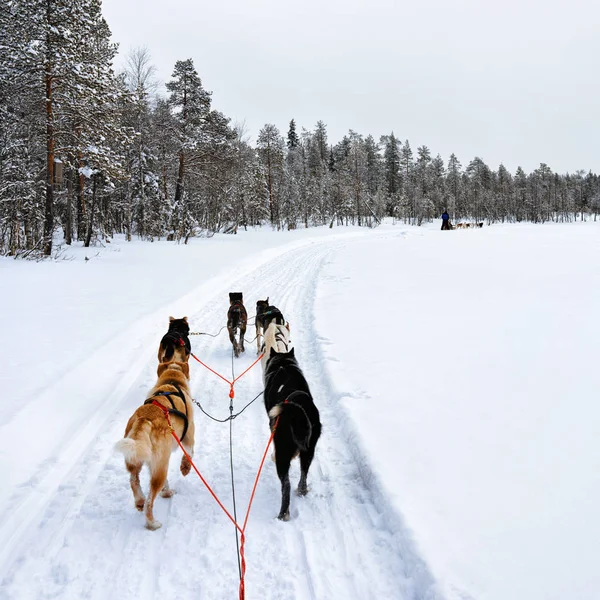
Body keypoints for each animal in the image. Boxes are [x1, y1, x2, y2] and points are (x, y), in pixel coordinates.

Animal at [115, 360, 195, 528]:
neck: (171, 381)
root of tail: (144, 418)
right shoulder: (188, 437)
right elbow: (189, 453)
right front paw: (185, 467)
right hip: (161, 464)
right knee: (150, 500)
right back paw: (152, 522)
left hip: (138, 457)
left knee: (134, 480)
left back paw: (141, 500)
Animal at [262, 324, 318, 520]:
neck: (283, 363)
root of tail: (297, 410)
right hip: (309, 450)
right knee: (304, 473)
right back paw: (302, 490)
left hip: (283, 452)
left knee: (285, 485)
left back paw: (283, 513)